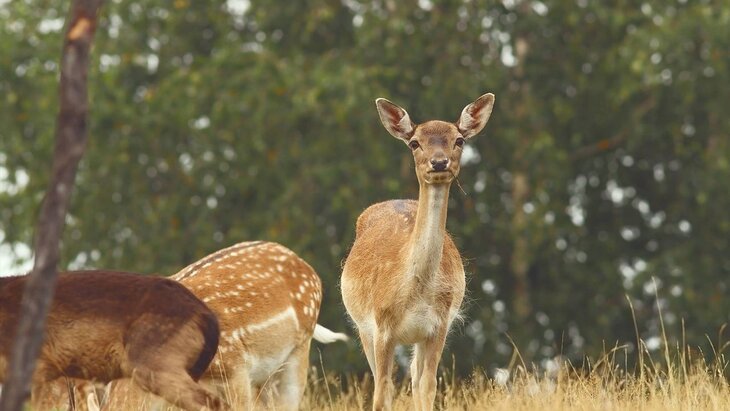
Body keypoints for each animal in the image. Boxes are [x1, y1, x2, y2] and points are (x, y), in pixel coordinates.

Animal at [342, 94, 494, 411]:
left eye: (459, 139)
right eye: (414, 142)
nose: (439, 162)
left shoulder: (438, 327)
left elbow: (427, 388)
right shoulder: (381, 325)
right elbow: (381, 393)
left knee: (414, 375)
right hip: (363, 327)